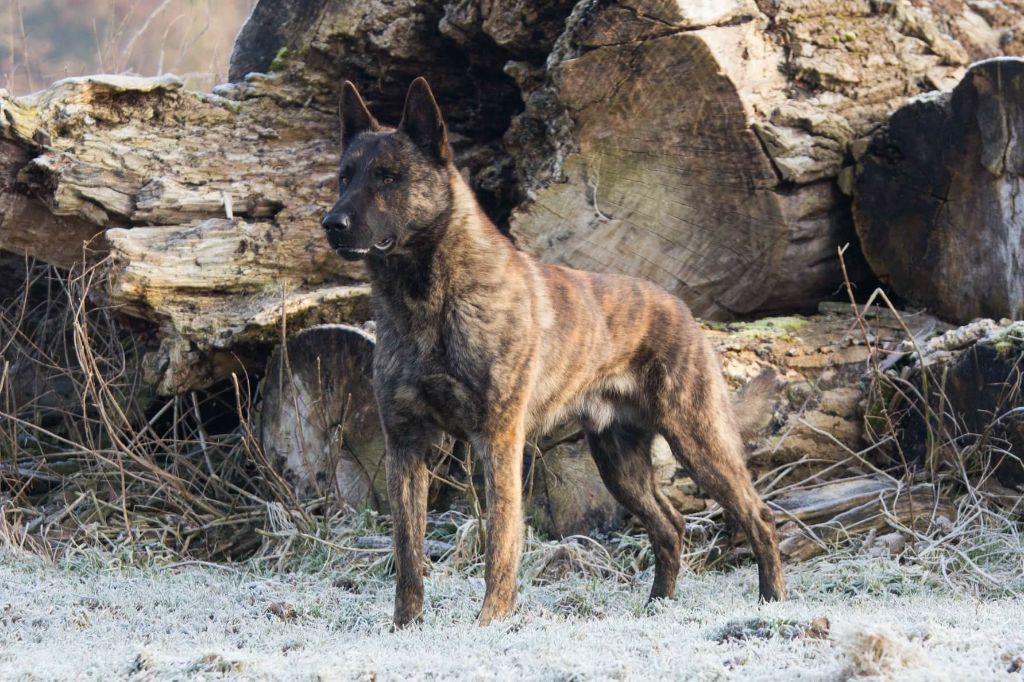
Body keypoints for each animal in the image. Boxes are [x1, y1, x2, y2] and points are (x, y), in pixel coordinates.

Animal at [321, 77, 786, 627]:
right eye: (344, 177)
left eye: (389, 177)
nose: (332, 223)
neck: (429, 303)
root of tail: (681, 308)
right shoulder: (406, 446)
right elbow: (408, 557)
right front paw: (405, 630)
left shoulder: (498, 442)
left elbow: (501, 547)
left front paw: (491, 624)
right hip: (619, 464)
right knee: (670, 525)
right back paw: (656, 606)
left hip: (699, 442)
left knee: (759, 517)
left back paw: (773, 602)